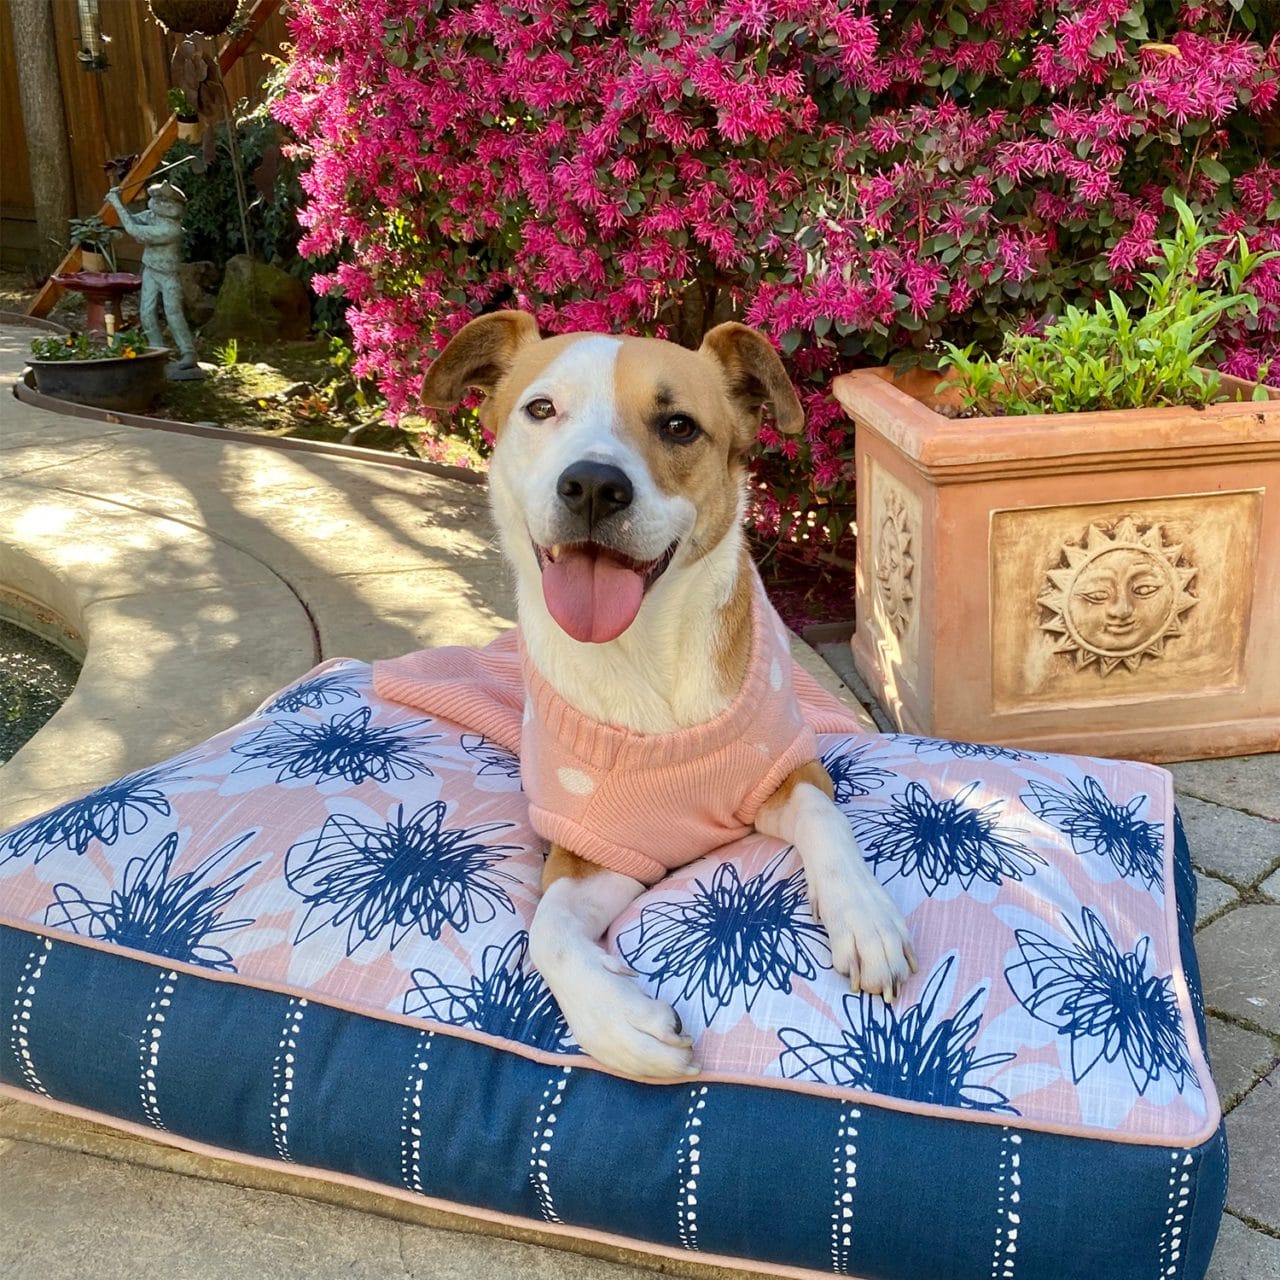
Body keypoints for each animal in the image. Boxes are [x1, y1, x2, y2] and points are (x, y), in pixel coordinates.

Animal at [424, 312, 916, 1080]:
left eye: (680, 426)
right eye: (541, 409)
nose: (593, 485)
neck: (645, 663)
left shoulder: (789, 770)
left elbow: (826, 820)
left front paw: (864, 916)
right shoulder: (595, 853)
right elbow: (546, 930)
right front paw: (621, 1026)